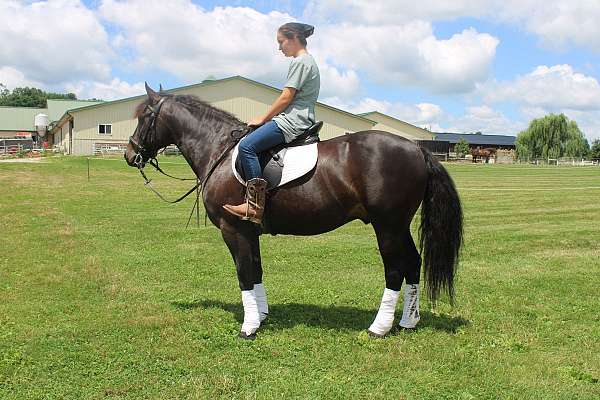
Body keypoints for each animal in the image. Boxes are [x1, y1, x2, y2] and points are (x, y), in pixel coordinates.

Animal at [123, 83, 464, 338]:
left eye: (144, 117)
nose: (130, 154)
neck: (219, 150)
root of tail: (416, 148)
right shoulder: (250, 231)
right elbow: (256, 270)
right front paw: (261, 314)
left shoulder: (233, 230)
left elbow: (243, 274)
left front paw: (249, 327)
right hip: (399, 226)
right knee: (414, 264)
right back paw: (409, 321)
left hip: (388, 226)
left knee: (395, 269)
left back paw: (379, 327)